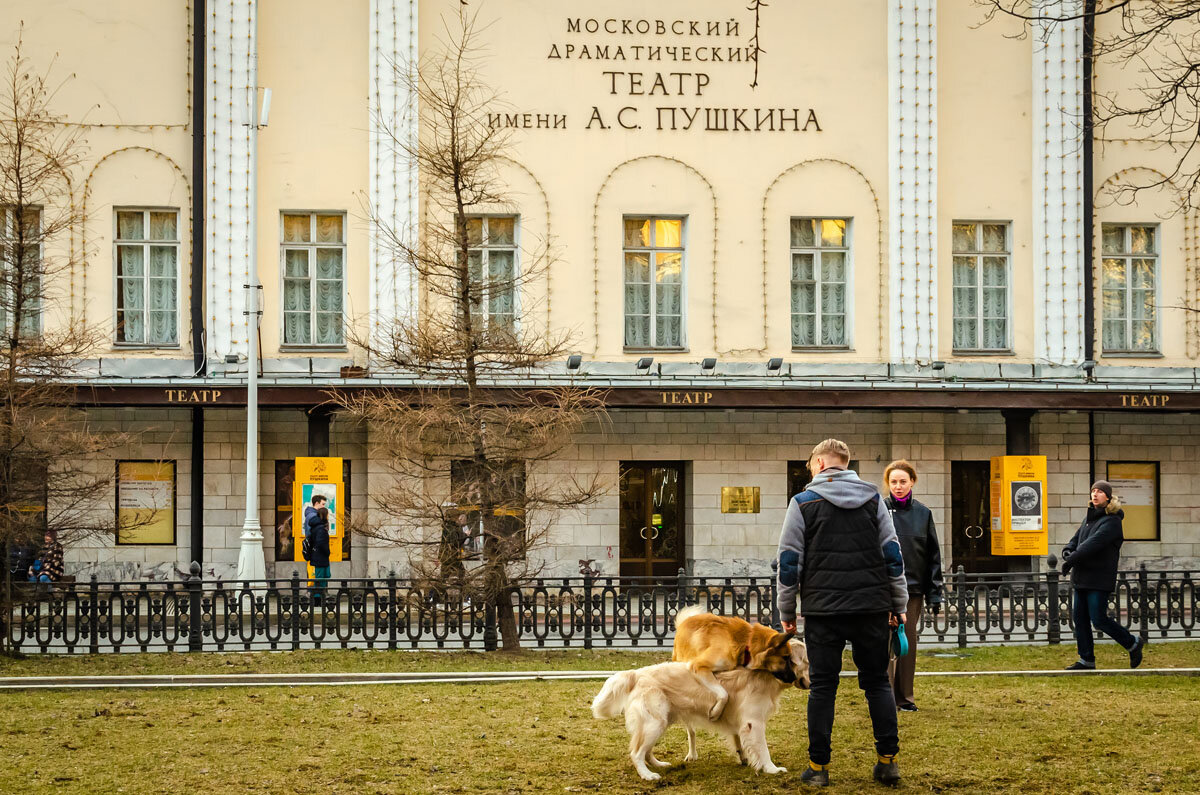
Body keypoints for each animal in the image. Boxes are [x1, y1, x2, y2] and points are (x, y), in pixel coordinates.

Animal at [590, 638, 806, 782]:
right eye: (806, 661)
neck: (767, 676)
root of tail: (636, 673)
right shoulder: (754, 722)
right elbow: (763, 749)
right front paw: (772, 769)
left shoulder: (740, 722)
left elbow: (739, 741)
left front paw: (744, 758)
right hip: (654, 723)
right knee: (636, 753)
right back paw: (648, 775)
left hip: (659, 722)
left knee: (646, 751)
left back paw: (659, 764)